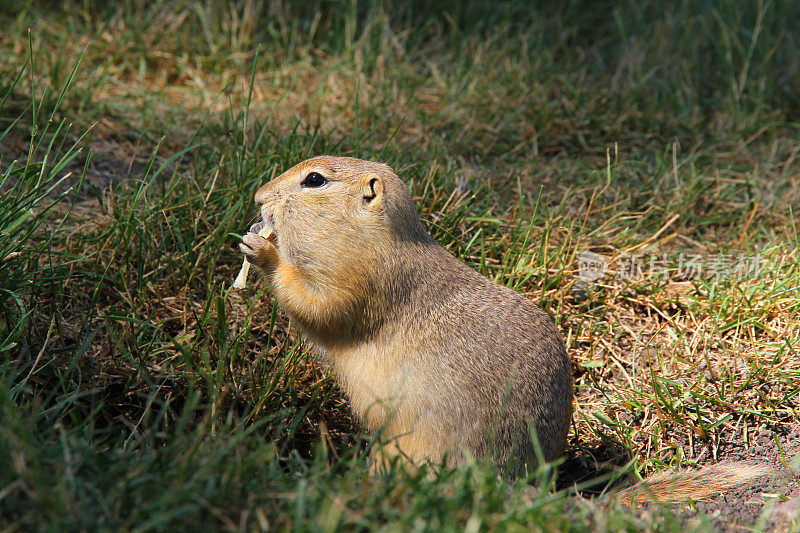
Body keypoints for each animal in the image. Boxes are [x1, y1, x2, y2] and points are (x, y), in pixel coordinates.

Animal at [239, 156, 768, 496]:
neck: (377, 236)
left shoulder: (361, 278)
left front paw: (261, 250)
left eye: (314, 180)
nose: (258, 195)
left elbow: (321, 306)